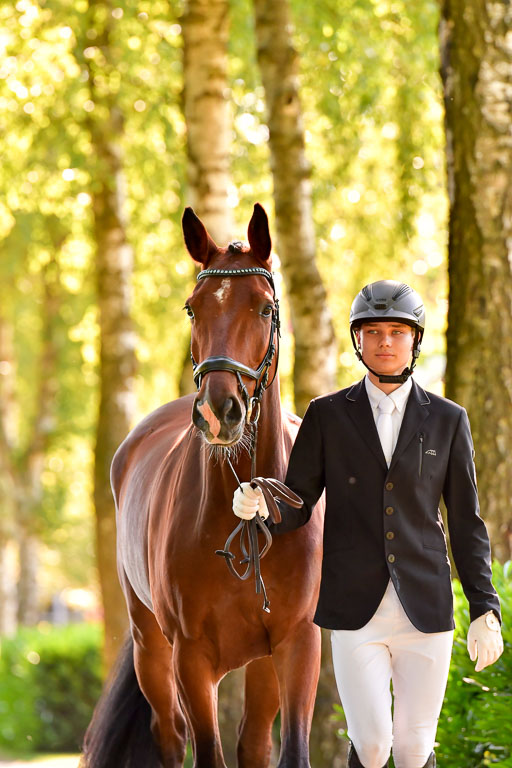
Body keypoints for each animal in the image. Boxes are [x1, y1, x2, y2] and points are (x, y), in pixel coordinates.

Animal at [83, 203, 323, 768]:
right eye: (193, 309)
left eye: (264, 308)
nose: (219, 411)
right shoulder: (190, 657)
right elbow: (206, 753)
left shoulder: (298, 643)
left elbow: (289, 751)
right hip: (151, 647)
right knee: (169, 736)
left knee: (253, 742)